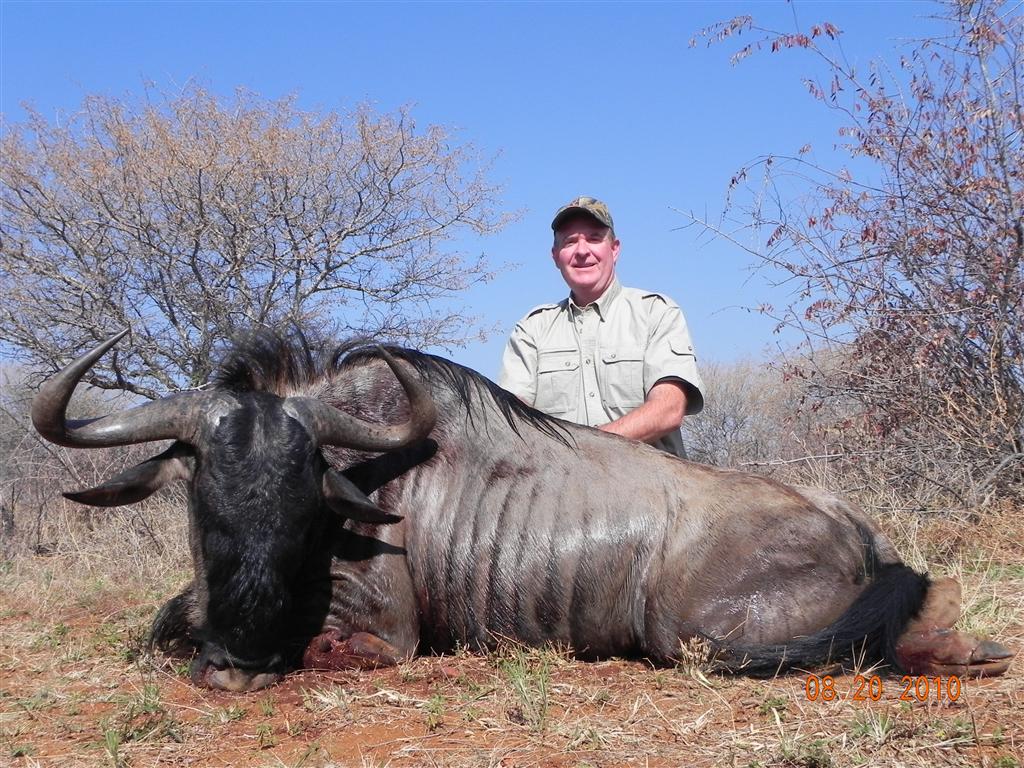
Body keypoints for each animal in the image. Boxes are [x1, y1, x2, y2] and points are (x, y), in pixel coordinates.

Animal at [32, 329, 1014, 691]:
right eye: (201, 490)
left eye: (308, 495)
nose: (233, 662)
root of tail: (854, 529)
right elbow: (165, 621)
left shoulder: (380, 636)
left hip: (697, 632)